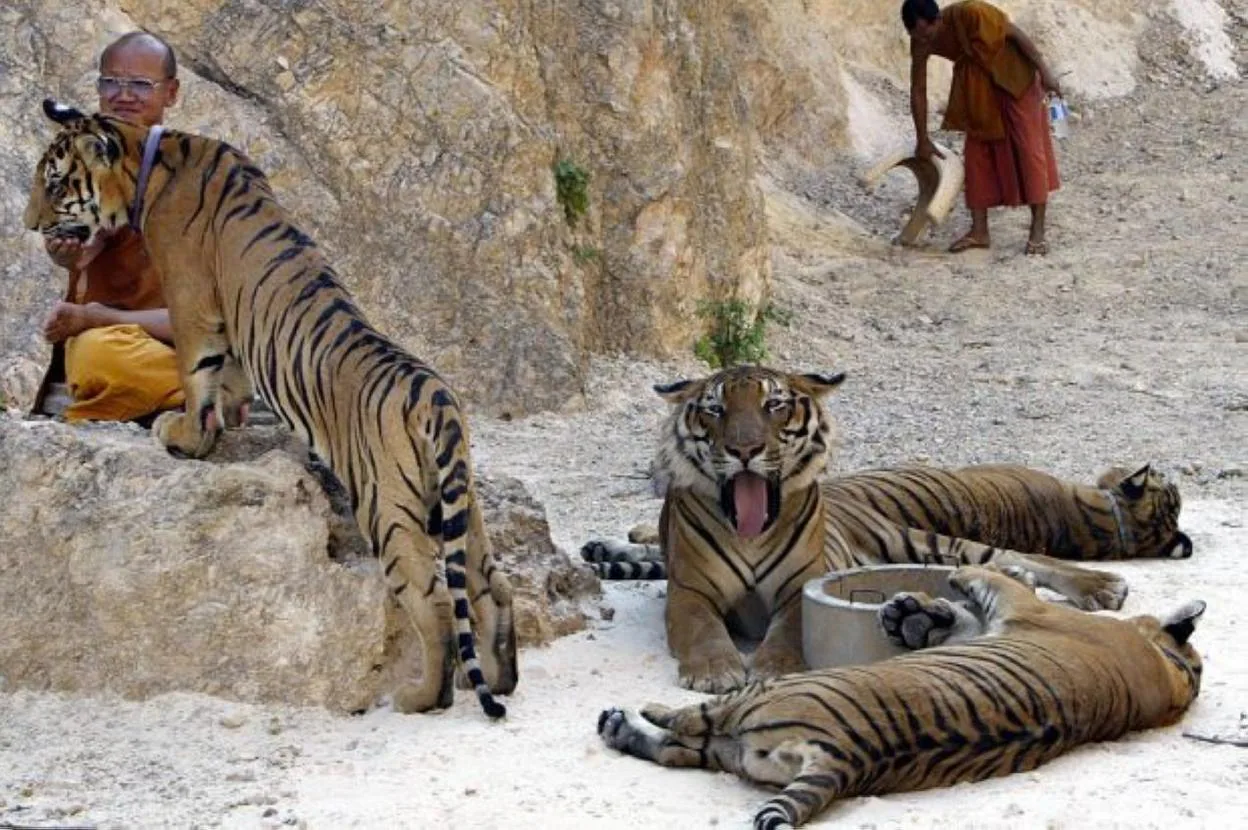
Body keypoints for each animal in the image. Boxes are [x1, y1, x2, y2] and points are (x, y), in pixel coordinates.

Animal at [29, 98, 516, 718]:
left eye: (55, 183)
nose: (30, 224)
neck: (149, 157)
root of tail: (435, 398)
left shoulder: (190, 297)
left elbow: (196, 372)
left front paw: (183, 436)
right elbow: (229, 378)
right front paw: (228, 420)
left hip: (386, 503)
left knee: (429, 598)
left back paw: (420, 697)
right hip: (459, 504)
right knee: (490, 585)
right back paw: (501, 678)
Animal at [599, 564, 1203, 828]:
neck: (1173, 676)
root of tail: (846, 757)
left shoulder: (1019, 606)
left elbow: (992, 574)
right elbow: (964, 610)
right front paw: (914, 613)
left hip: (761, 697)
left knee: (688, 722)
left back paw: (629, 713)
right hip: (736, 749)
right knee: (679, 749)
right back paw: (621, 726)